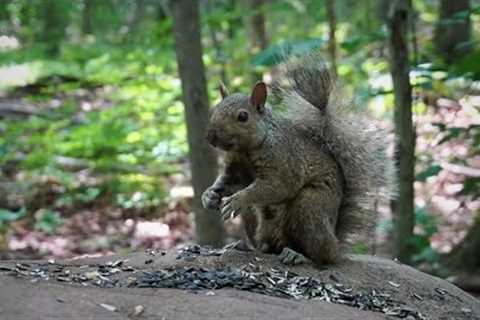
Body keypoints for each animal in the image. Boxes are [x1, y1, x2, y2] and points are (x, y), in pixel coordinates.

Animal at [202, 54, 394, 264]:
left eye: (243, 116)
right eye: (215, 109)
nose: (210, 137)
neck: (245, 150)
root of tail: (336, 240)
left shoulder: (285, 160)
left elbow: (279, 186)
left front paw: (238, 200)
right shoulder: (236, 167)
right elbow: (231, 182)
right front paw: (209, 196)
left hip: (309, 206)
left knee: (322, 255)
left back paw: (299, 255)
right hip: (256, 219)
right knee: (268, 246)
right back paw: (247, 246)